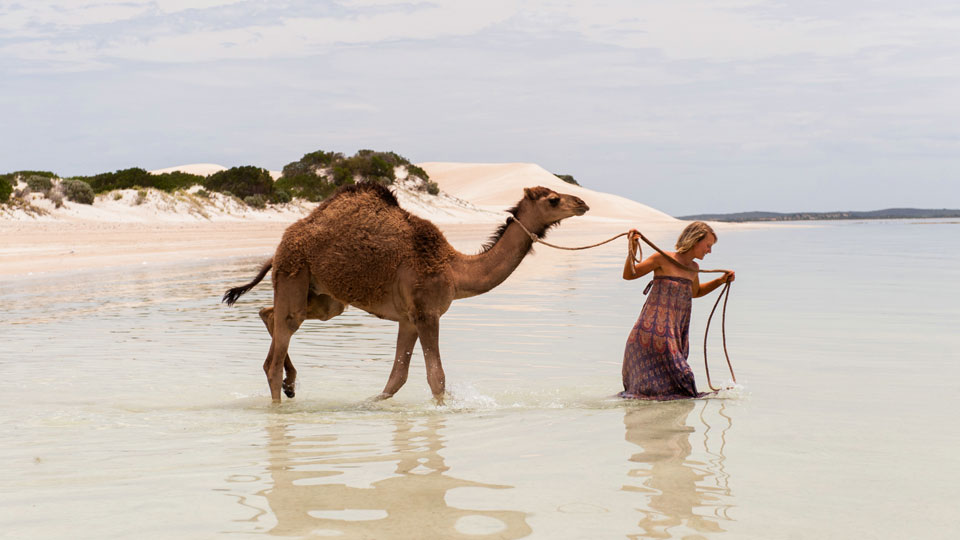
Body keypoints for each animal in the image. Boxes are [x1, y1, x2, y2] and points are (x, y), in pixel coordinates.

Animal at [225, 181, 588, 400]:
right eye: (554, 198)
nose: (583, 202)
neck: (455, 269)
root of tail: (280, 246)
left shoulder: (409, 318)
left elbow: (396, 378)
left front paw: (370, 403)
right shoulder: (427, 312)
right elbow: (436, 377)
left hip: (325, 299)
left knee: (271, 315)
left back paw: (291, 383)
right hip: (294, 273)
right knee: (279, 341)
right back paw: (280, 402)